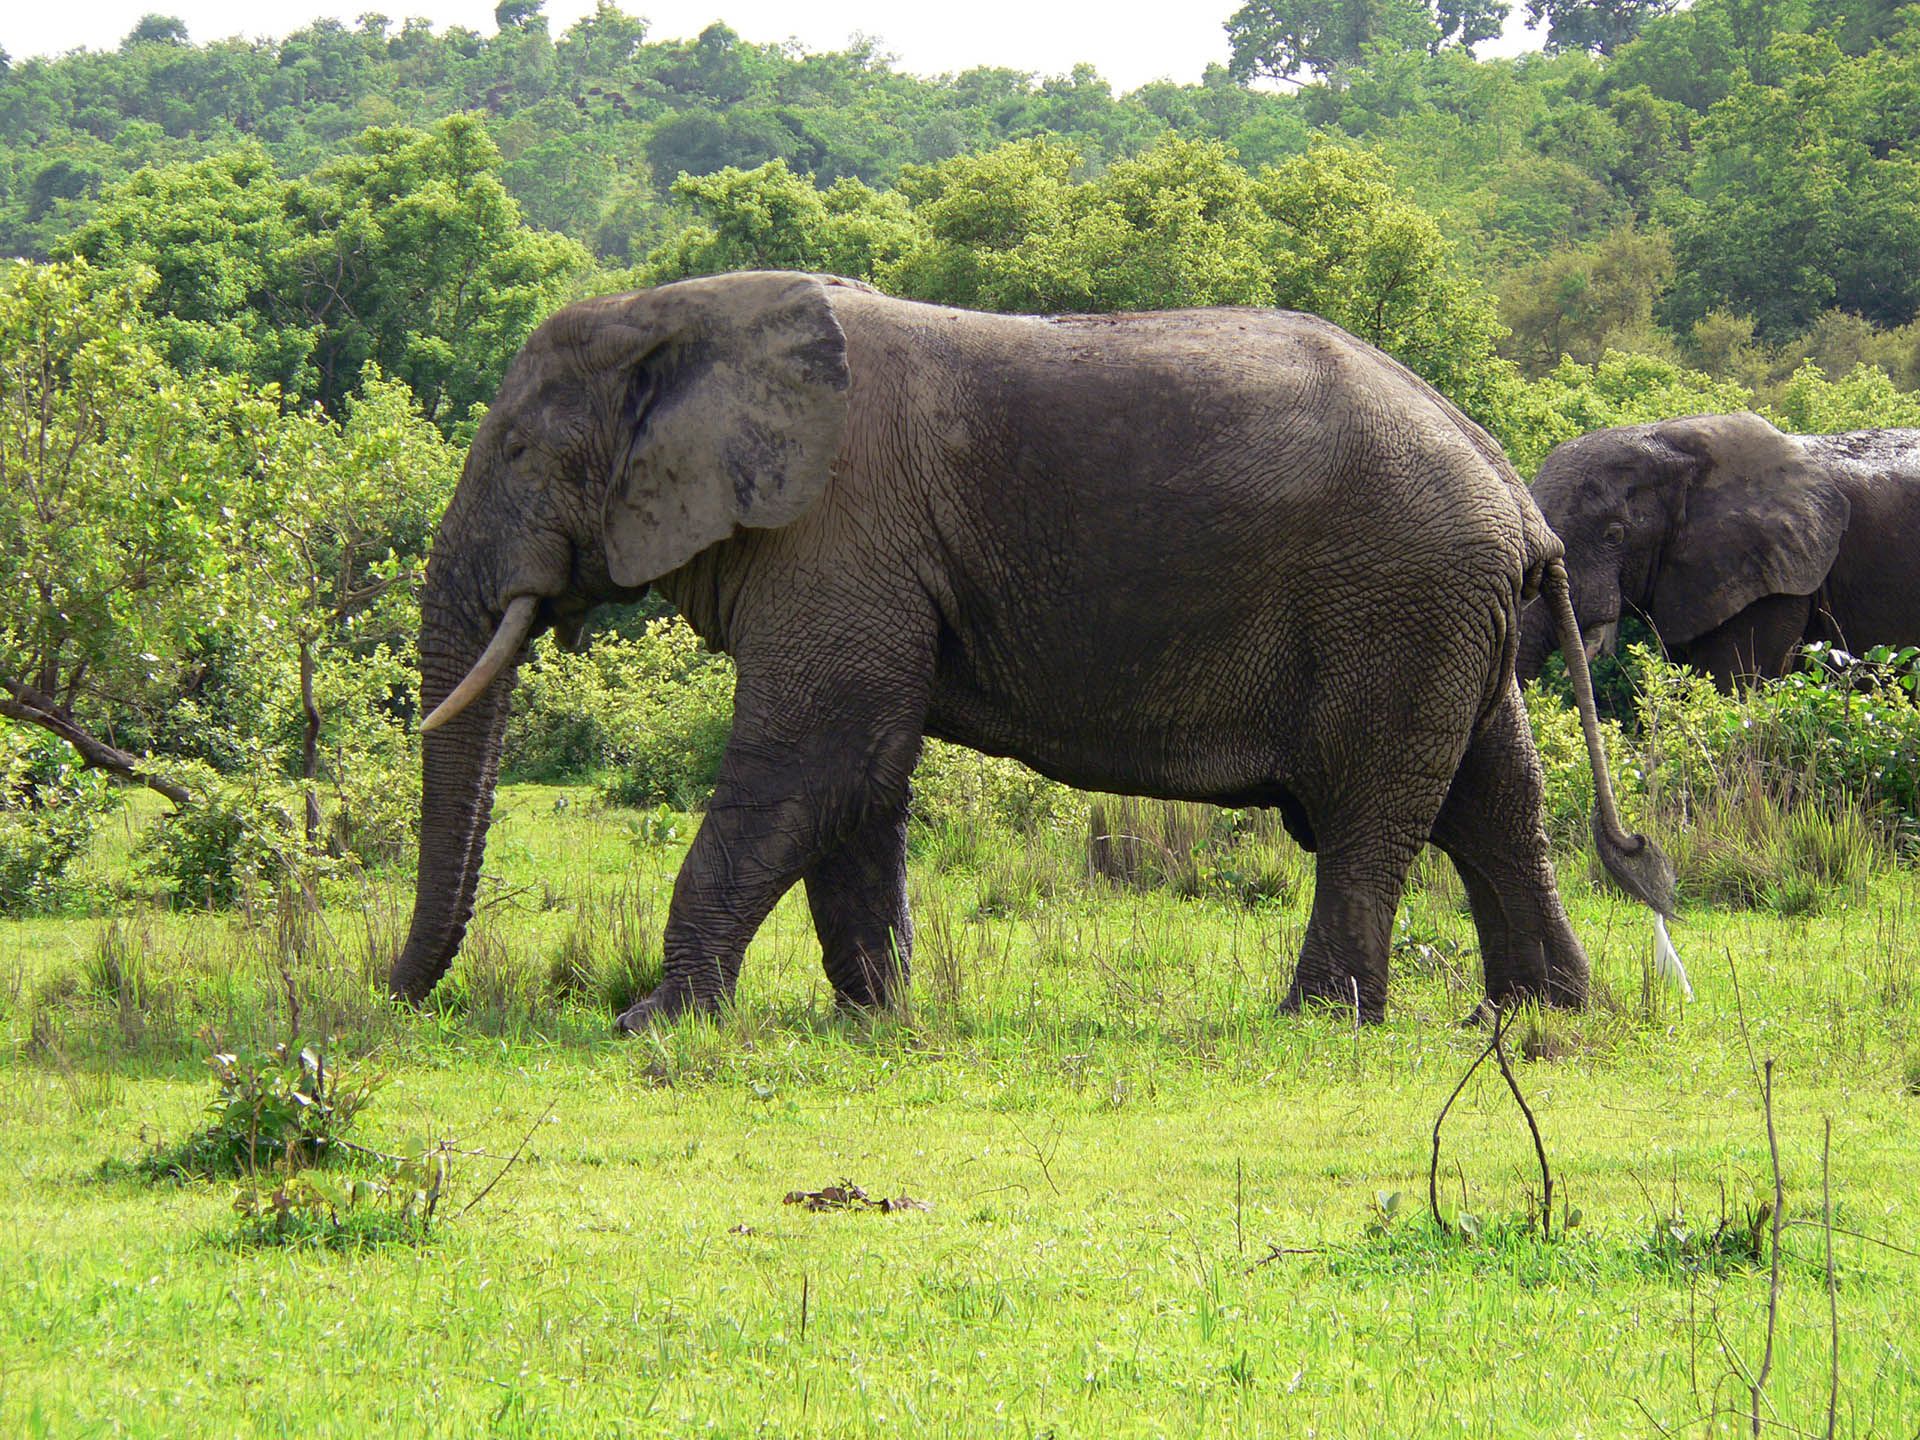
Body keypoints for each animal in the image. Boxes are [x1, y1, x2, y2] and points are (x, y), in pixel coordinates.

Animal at [385, 270, 1666, 1029]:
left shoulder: (837, 530)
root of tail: (1519, 501)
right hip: (1449, 618)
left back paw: (1318, 1020)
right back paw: (1543, 1019)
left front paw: (660, 1026)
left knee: (1370, 815)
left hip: (1395, 606)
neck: (687, 315)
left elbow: (816, 756)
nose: (395, 1001)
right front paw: (875, 1023)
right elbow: (862, 779)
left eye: (515, 453)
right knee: (1495, 804)